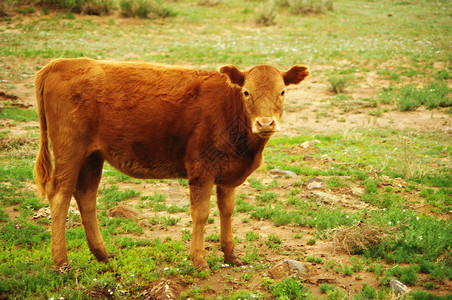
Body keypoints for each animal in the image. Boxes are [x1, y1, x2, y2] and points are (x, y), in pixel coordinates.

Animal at [34, 57, 310, 270]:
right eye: (246, 92)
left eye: (282, 92)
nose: (265, 123)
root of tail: (62, 62)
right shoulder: (201, 169)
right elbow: (201, 213)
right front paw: (200, 261)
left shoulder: (228, 174)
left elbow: (227, 210)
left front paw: (231, 255)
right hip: (70, 150)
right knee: (60, 195)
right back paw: (61, 262)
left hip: (93, 156)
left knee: (86, 196)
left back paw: (102, 254)